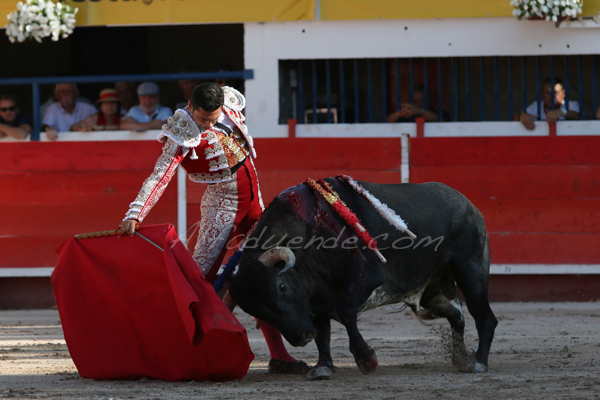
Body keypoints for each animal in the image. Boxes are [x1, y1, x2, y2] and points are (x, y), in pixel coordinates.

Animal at [230, 180, 496, 380]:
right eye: (259, 312)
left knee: (484, 317)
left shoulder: (365, 279)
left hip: (471, 272)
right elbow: (323, 332)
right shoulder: (315, 299)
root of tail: (469, 205)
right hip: (432, 291)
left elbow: (347, 314)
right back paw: (460, 358)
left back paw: (479, 362)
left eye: (282, 286)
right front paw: (323, 366)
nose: (301, 337)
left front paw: (366, 359)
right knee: (457, 315)